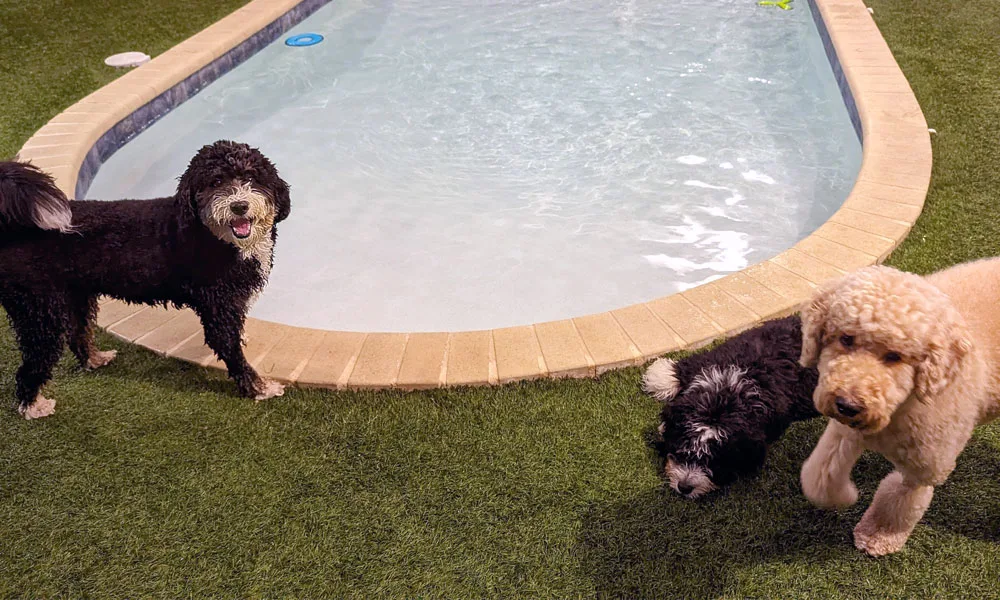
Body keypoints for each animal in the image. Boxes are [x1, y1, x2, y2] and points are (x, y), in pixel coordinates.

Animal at [1, 142, 292, 422]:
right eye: (215, 182)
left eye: (251, 177)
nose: (239, 206)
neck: (215, 236)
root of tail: (14, 232)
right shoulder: (218, 308)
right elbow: (231, 350)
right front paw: (259, 388)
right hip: (38, 312)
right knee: (32, 364)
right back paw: (32, 405)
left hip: (75, 297)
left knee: (78, 334)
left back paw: (95, 359)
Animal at [796, 255, 1000, 556]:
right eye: (846, 338)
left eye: (894, 356)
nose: (847, 405)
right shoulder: (846, 432)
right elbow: (820, 478)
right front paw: (847, 494)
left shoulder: (925, 467)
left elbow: (902, 499)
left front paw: (878, 536)